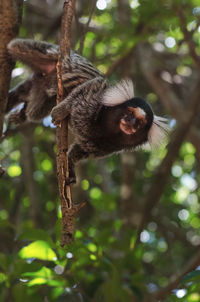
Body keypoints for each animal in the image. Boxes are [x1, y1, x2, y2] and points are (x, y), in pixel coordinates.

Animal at [5, 37, 168, 184]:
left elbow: (81, 150)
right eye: (129, 112)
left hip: (42, 91)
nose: (130, 122)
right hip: (53, 55)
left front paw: (70, 167)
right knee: (16, 46)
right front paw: (61, 111)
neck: (106, 127)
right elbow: (85, 88)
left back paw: (23, 113)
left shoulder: (107, 146)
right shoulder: (95, 97)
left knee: (34, 111)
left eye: (140, 122)